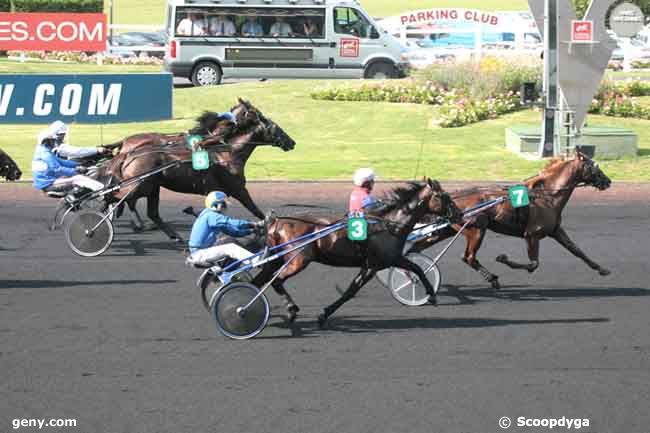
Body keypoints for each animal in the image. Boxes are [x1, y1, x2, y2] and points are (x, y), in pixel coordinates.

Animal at [251, 177, 458, 326]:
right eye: (444, 196)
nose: (458, 214)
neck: (389, 225)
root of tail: (277, 222)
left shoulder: (390, 259)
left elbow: (417, 269)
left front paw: (431, 294)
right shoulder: (373, 266)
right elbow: (350, 291)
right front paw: (324, 315)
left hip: (276, 260)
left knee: (258, 281)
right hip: (298, 260)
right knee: (276, 281)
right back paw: (291, 310)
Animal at [408, 150, 612, 288]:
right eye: (595, 166)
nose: (608, 181)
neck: (547, 196)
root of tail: (454, 197)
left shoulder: (555, 230)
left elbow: (577, 250)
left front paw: (601, 269)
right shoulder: (532, 235)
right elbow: (533, 264)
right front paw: (502, 258)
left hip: (449, 228)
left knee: (417, 246)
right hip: (477, 228)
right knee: (468, 257)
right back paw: (492, 279)